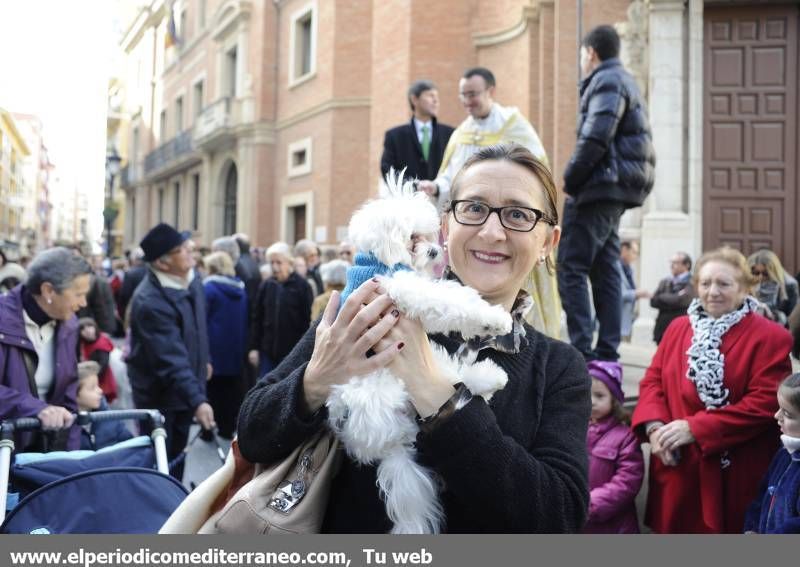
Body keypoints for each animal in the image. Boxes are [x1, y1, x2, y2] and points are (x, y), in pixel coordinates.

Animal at [326, 171, 510, 536]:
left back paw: (490, 378)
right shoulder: (401, 287)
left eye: (428, 234)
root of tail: (389, 445)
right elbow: (449, 299)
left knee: (455, 377)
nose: (435, 251)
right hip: (382, 387)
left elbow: (449, 299)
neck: (378, 260)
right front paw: (493, 318)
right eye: (412, 237)